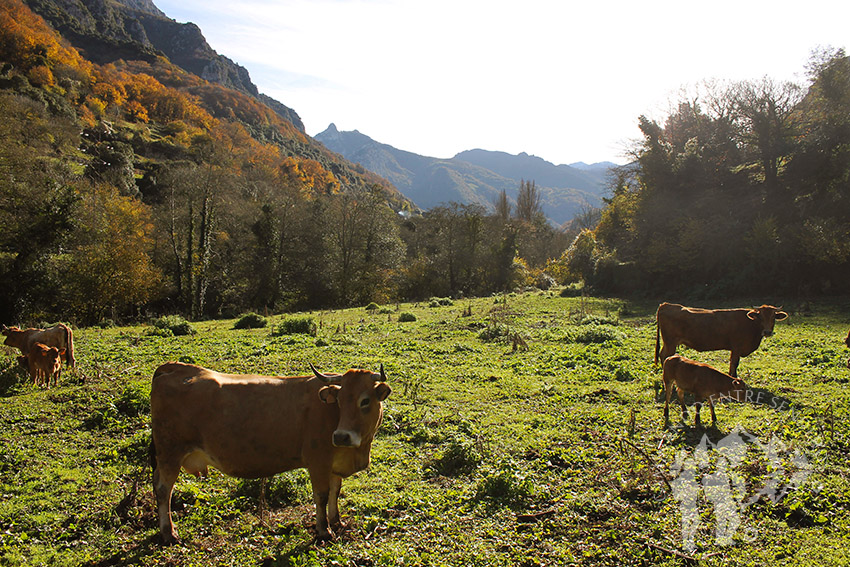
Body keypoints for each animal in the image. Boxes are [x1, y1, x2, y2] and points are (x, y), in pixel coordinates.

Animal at [149, 362, 390, 544]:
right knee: (163, 489)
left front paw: (337, 521)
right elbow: (321, 495)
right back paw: (169, 533)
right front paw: (324, 530)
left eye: (365, 400)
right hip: (170, 452)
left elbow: (335, 492)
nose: (341, 437)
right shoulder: (318, 461)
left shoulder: (334, 464)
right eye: (339, 401)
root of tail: (175, 367)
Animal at [652, 302, 784, 378]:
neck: (750, 323)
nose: (767, 332)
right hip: (670, 342)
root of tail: (666, 304)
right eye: (760, 316)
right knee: (664, 355)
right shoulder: (736, 347)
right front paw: (733, 377)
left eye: (773, 316)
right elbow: (734, 363)